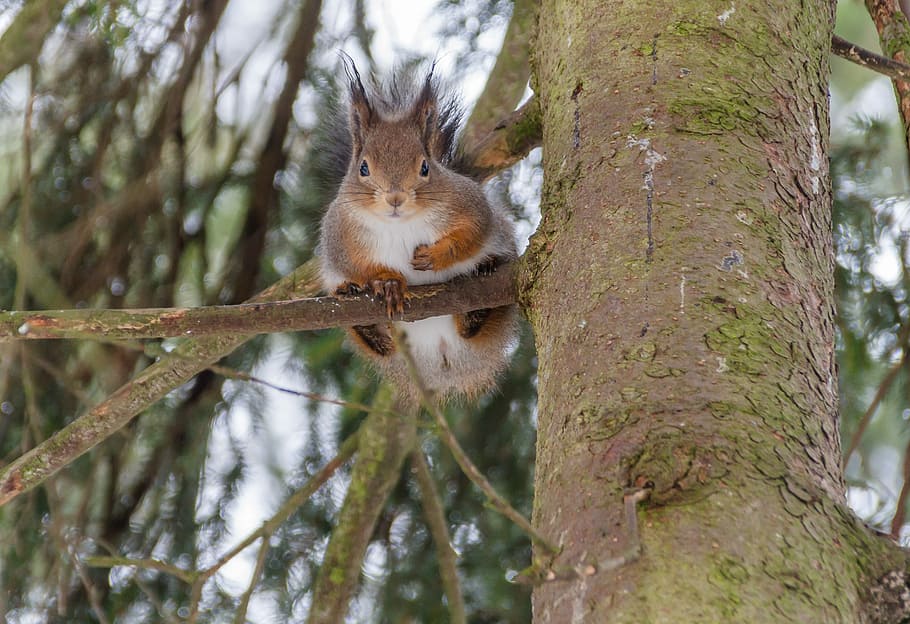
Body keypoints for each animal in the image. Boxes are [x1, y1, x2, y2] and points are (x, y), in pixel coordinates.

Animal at [317, 59, 518, 402]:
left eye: (425, 167)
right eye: (363, 168)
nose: (395, 198)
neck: (400, 224)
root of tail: (440, 354)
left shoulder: (469, 204)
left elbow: (473, 233)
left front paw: (436, 256)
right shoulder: (338, 234)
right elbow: (354, 264)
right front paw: (386, 282)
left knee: (475, 327)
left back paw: (482, 287)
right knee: (380, 345)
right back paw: (359, 312)